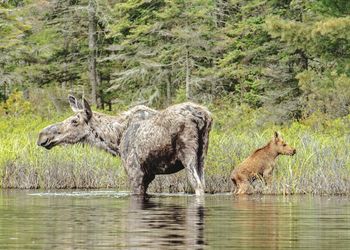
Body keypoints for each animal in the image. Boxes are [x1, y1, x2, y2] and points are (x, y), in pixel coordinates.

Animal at [38, 95, 213, 195]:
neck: (115, 139)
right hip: (202, 155)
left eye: (74, 121)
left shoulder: (135, 172)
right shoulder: (149, 175)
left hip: (187, 154)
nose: (42, 136)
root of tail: (203, 116)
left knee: (198, 186)